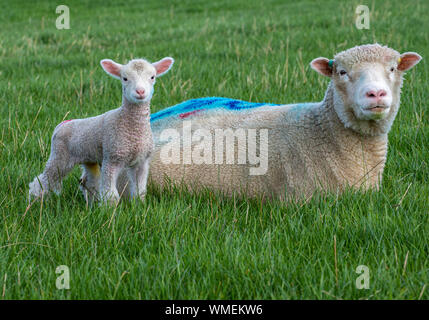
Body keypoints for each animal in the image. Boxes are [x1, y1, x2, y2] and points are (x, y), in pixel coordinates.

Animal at [28, 56, 174, 204]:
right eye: (125, 78)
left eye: (152, 77)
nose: (140, 92)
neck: (132, 128)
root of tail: (62, 124)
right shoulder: (112, 158)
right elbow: (110, 193)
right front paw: (110, 208)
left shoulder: (141, 161)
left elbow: (140, 191)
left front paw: (139, 205)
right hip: (60, 156)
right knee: (43, 180)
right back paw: (35, 200)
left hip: (88, 157)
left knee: (88, 181)